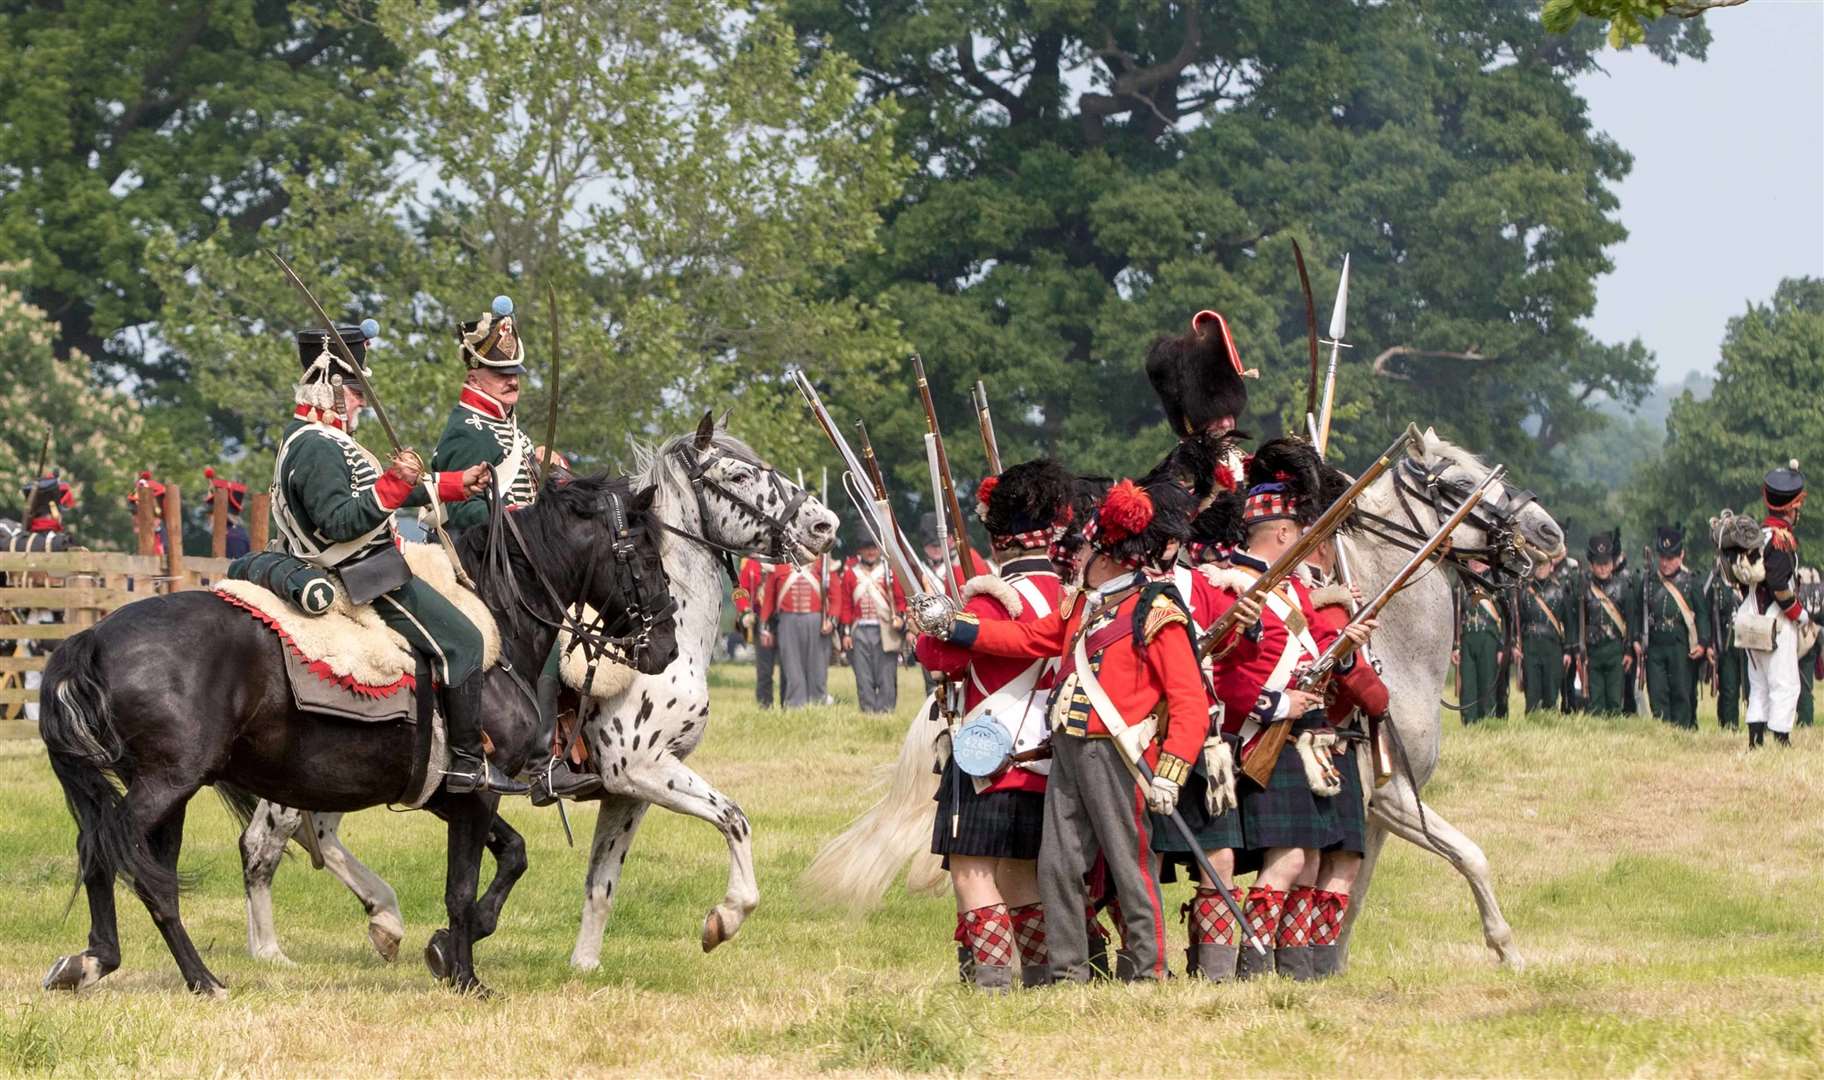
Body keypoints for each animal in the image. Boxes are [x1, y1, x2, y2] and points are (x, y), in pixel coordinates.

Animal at [37, 474, 678, 992]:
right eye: (647, 558)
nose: (666, 645)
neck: (499, 619)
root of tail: (91, 637)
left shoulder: (449, 792)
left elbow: (512, 856)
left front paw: (446, 950)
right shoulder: (477, 791)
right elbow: (462, 887)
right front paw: (467, 979)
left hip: (171, 793)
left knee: (142, 870)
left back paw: (125, 967)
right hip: (165, 785)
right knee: (113, 853)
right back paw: (183, 975)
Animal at [229, 417, 839, 963]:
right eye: (737, 474)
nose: (825, 524)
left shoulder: (626, 791)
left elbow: (601, 883)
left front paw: (583, 966)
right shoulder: (639, 768)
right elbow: (734, 817)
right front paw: (726, 917)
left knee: (317, 834)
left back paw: (379, 921)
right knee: (265, 843)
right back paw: (271, 952)